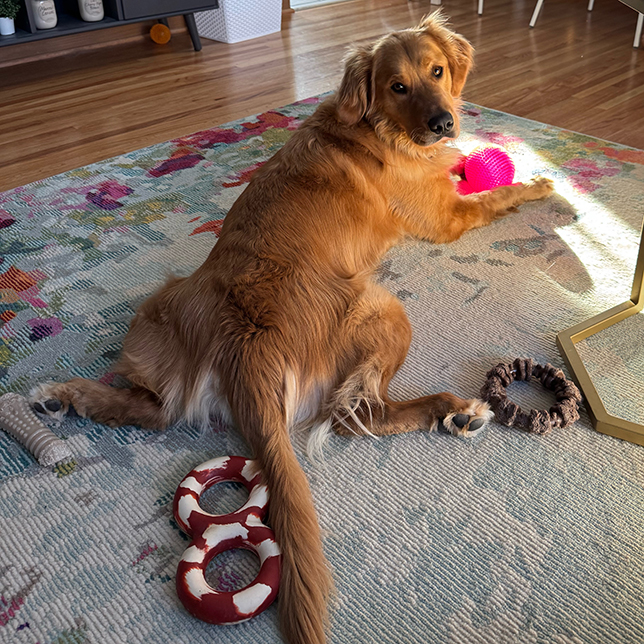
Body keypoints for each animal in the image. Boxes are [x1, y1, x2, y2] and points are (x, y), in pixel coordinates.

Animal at [31, 13, 554, 644]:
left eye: (436, 71)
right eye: (397, 86)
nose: (443, 121)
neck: (379, 127)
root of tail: (246, 345)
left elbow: (465, 161)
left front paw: (485, 150)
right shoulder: (449, 217)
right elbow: (497, 193)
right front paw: (540, 184)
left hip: (158, 316)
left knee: (151, 409)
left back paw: (62, 395)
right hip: (385, 309)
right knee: (359, 415)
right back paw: (455, 411)